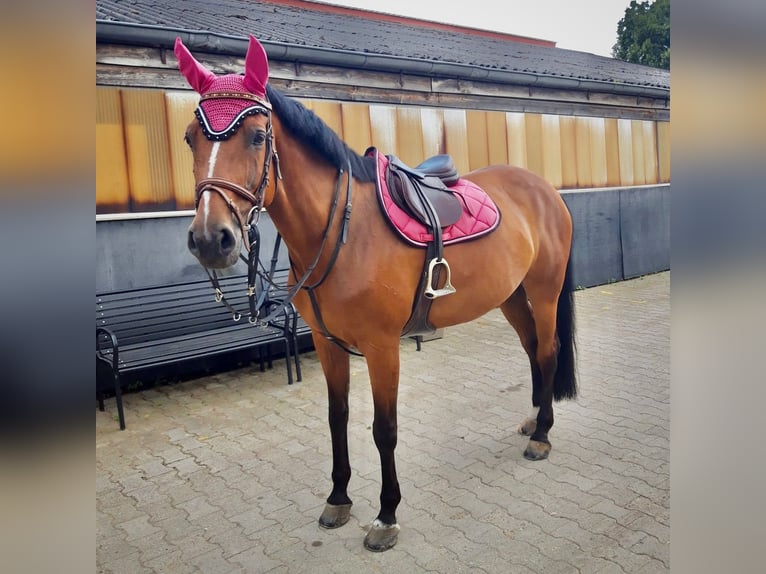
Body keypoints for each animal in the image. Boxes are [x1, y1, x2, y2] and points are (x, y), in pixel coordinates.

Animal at [177, 35, 580, 552]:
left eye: (257, 137)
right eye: (191, 137)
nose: (211, 239)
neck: (343, 233)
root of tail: (544, 189)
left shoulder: (382, 346)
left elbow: (383, 430)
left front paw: (386, 515)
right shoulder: (327, 344)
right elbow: (338, 417)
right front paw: (338, 498)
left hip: (544, 290)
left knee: (548, 350)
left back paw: (542, 435)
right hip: (510, 294)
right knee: (532, 347)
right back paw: (533, 417)